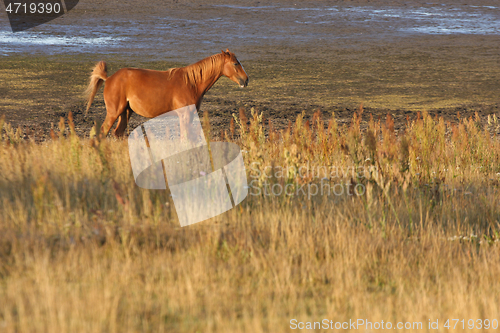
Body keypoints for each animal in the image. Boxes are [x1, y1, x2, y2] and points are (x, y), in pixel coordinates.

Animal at [86, 49, 252, 136]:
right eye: (235, 63)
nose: (246, 80)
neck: (191, 83)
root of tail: (109, 78)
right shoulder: (184, 115)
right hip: (114, 112)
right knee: (102, 132)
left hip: (125, 112)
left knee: (117, 133)